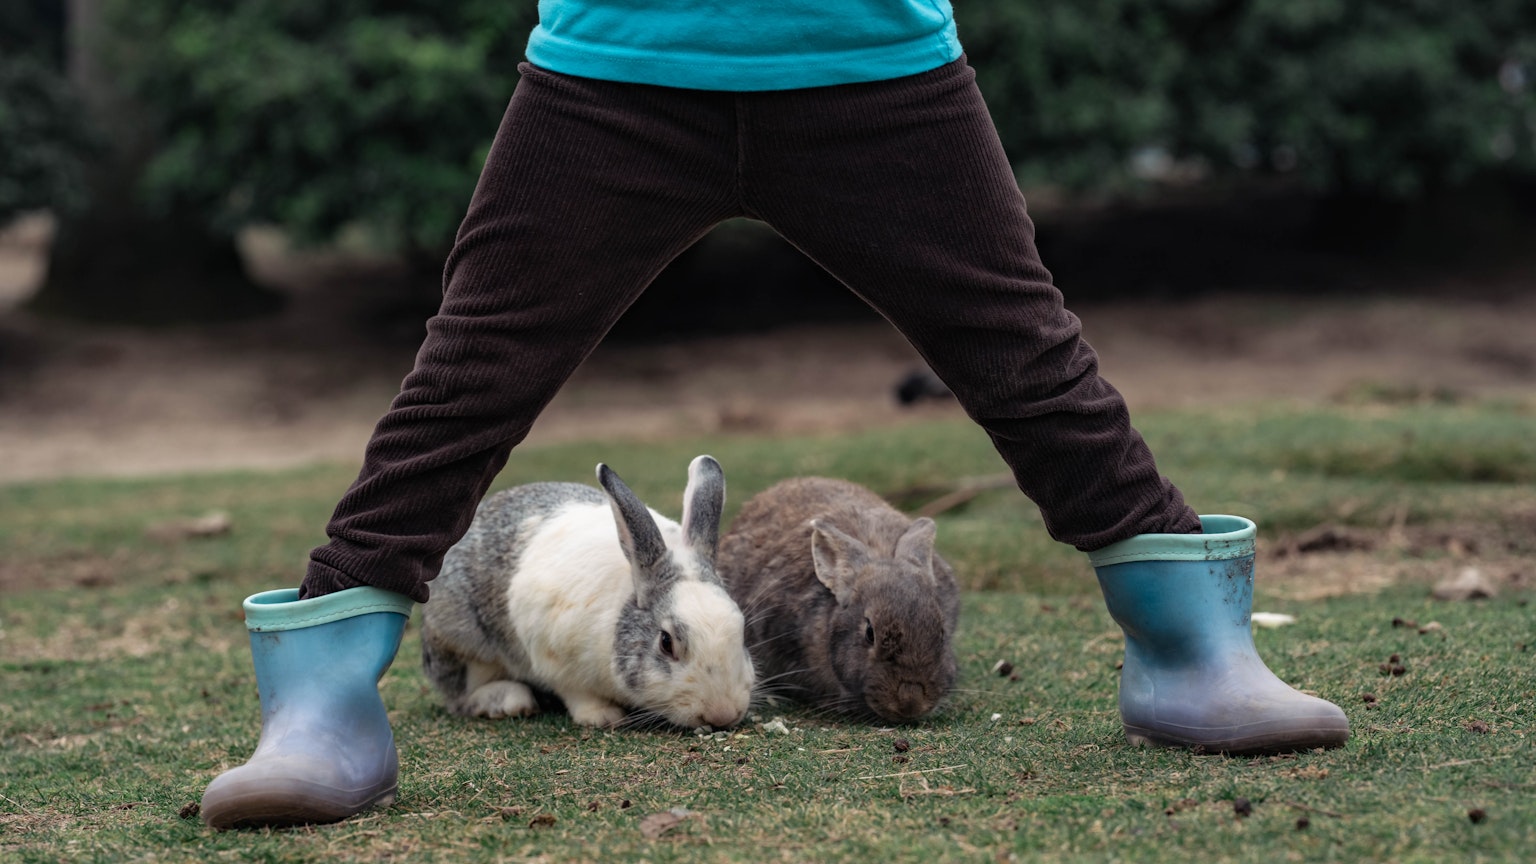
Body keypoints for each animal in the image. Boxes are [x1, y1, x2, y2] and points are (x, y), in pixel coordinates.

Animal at [420, 455, 756, 730]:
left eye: (742, 633)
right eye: (666, 643)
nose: (722, 714)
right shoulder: (553, 656)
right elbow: (576, 693)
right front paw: (603, 716)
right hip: (463, 643)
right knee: (461, 697)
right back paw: (509, 700)